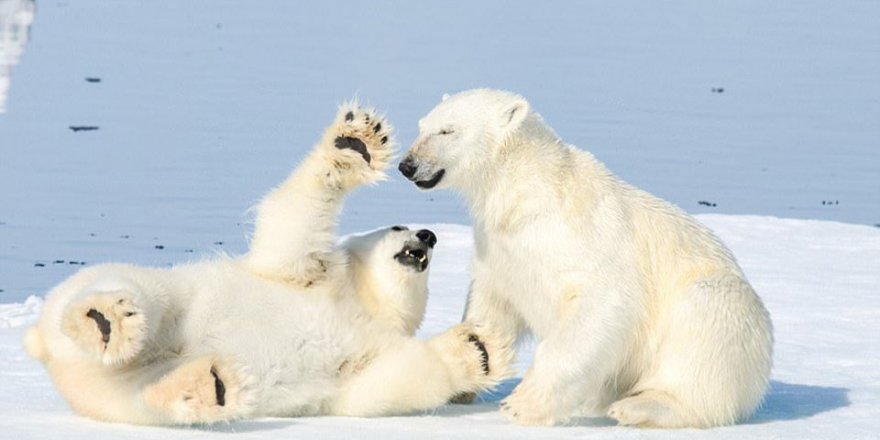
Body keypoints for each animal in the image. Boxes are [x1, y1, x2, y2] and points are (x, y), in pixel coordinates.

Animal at [24, 103, 512, 426]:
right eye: (397, 224)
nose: (427, 236)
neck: (361, 303)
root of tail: (44, 349)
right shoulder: (312, 276)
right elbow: (291, 230)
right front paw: (355, 144)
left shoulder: (356, 361)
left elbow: (380, 387)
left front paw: (482, 348)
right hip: (156, 295)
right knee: (132, 292)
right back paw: (107, 320)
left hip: (112, 390)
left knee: (143, 397)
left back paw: (212, 385)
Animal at [398, 89, 768, 430]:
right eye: (422, 125)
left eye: (448, 130)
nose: (407, 165)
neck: (526, 192)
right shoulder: (501, 249)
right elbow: (491, 305)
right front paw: (468, 368)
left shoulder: (581, 242)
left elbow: (601, 305)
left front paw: (523, 403)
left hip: (723, 311)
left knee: (700, 333)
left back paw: (638, 407)